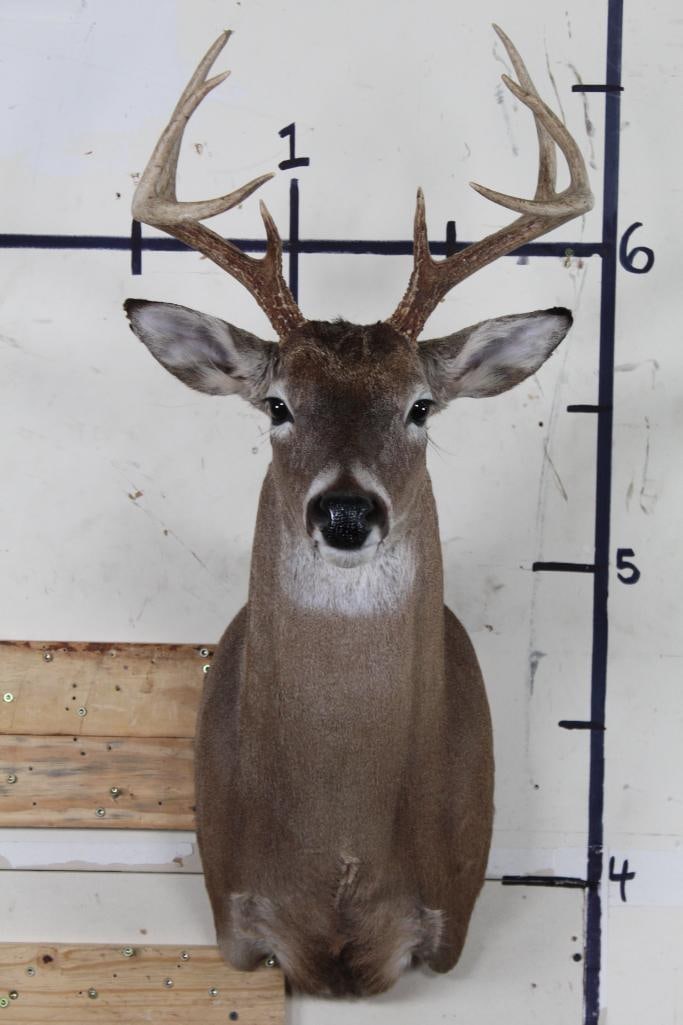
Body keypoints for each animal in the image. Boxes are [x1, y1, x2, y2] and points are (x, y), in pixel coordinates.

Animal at [124, 25, 592, 997]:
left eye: (420, 406)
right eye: (276, 404)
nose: (345, 511)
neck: (337, 850)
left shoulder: (448, 927)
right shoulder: (233, 913)